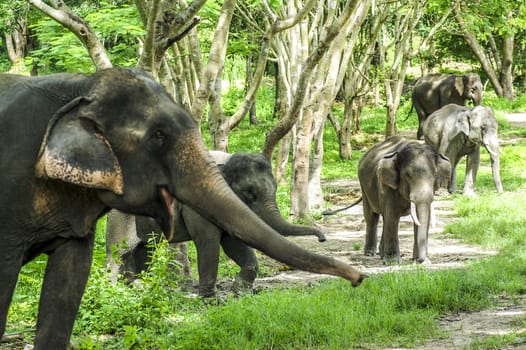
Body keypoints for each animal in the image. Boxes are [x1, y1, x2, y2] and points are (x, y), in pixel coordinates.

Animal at [105, 152, 328, 296]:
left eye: (275, 187)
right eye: (250, 193)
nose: (323, 238)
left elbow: (232, 244)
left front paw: (240, 292)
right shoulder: (197, 205)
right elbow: (208, 241)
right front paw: (209, 299)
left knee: (144, 249)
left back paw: (136, 286)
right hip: (121, 217)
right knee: (119, 251)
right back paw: (114, 288)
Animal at [360, 135, 452, 264]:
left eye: (435, 174)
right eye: (407, 175)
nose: (422, 260)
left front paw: (419, 261)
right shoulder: (388, 186)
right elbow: (392, 215)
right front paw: (393, 262)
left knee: (384, 217)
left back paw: (382, 254)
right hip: (364, 187)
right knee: (372, 217)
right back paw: (370, 253)